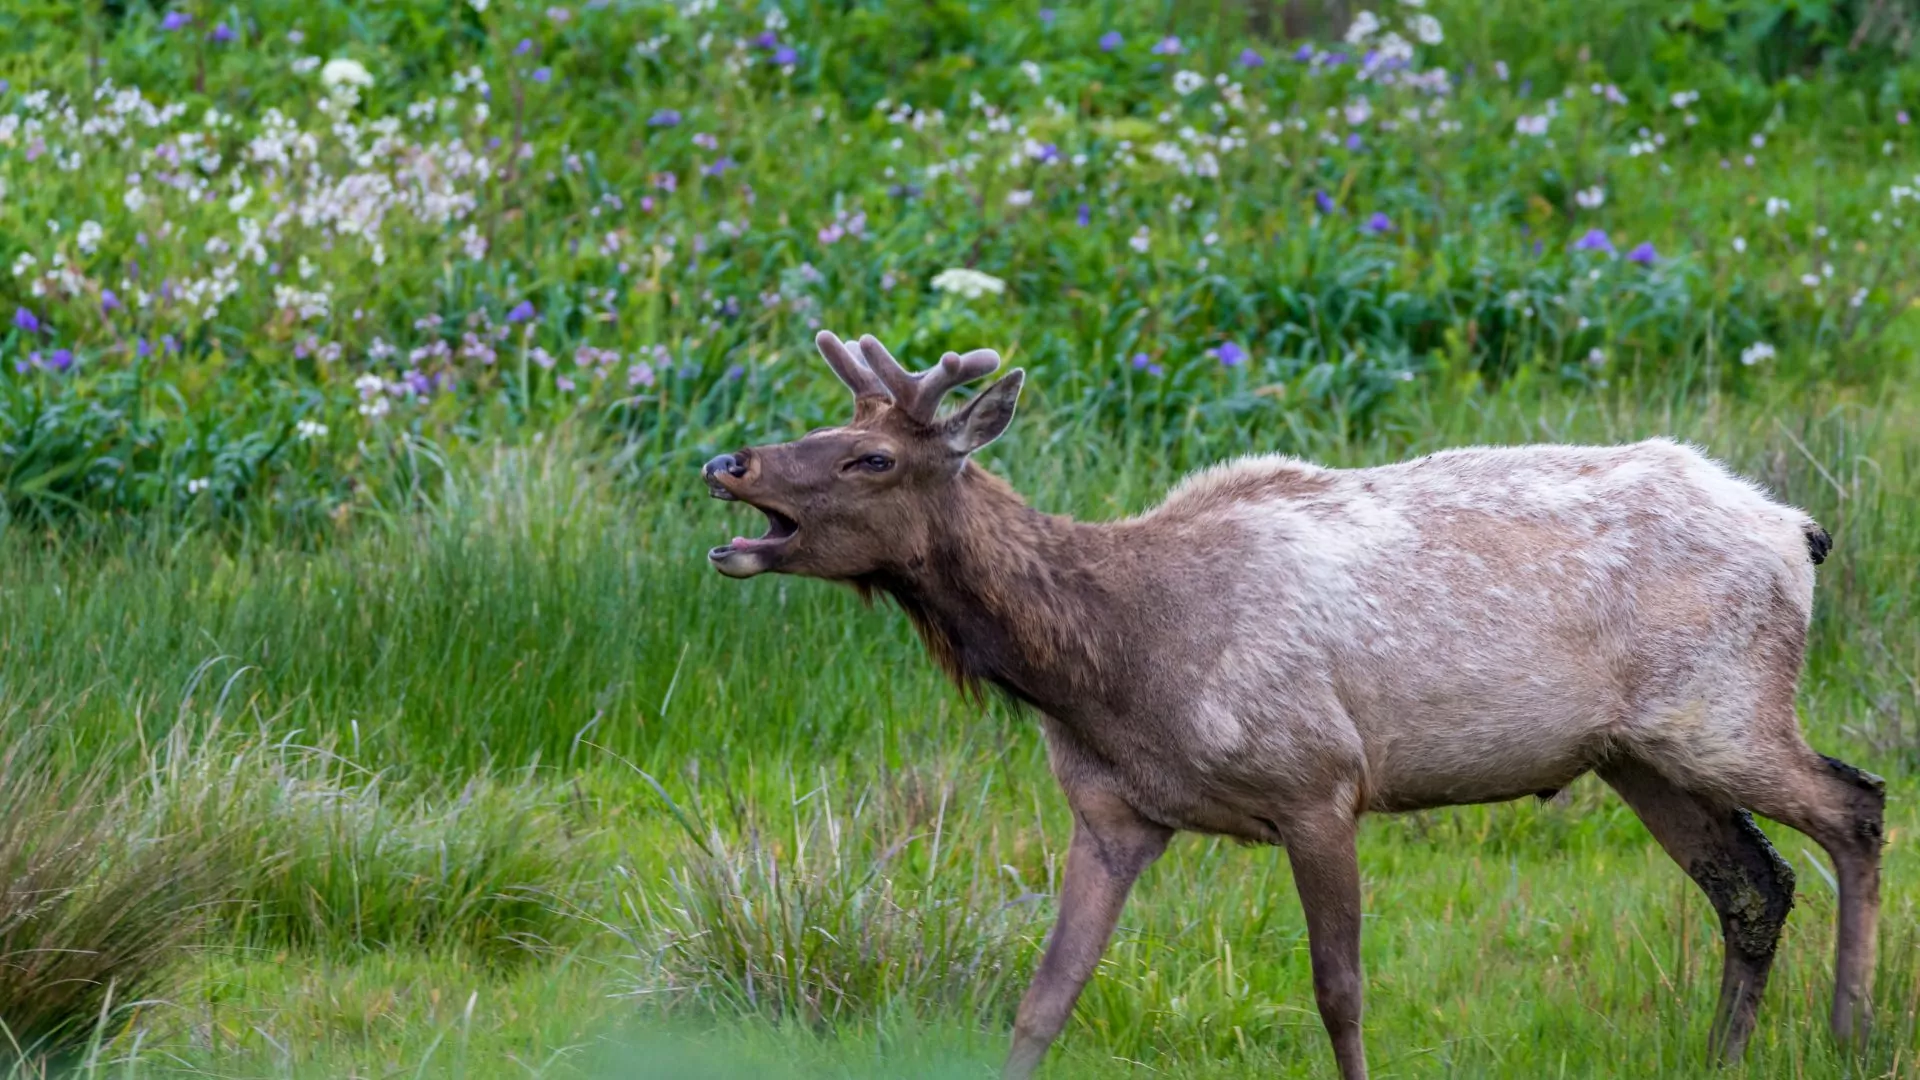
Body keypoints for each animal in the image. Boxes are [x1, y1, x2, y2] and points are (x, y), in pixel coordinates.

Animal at [698, 330, 1881, 1076]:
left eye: (870, 455)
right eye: (821, 429)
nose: (728, 461)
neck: (1114, 671)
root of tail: (1801, 530)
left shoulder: (1320, 782)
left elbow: (1339, 992)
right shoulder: (1112, 812)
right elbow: (1044, 998)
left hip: (1725, 707)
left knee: (1855, 807)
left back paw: (1849, 1035)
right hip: (1637, 751)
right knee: (1752, 884)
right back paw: (1724, 1056)